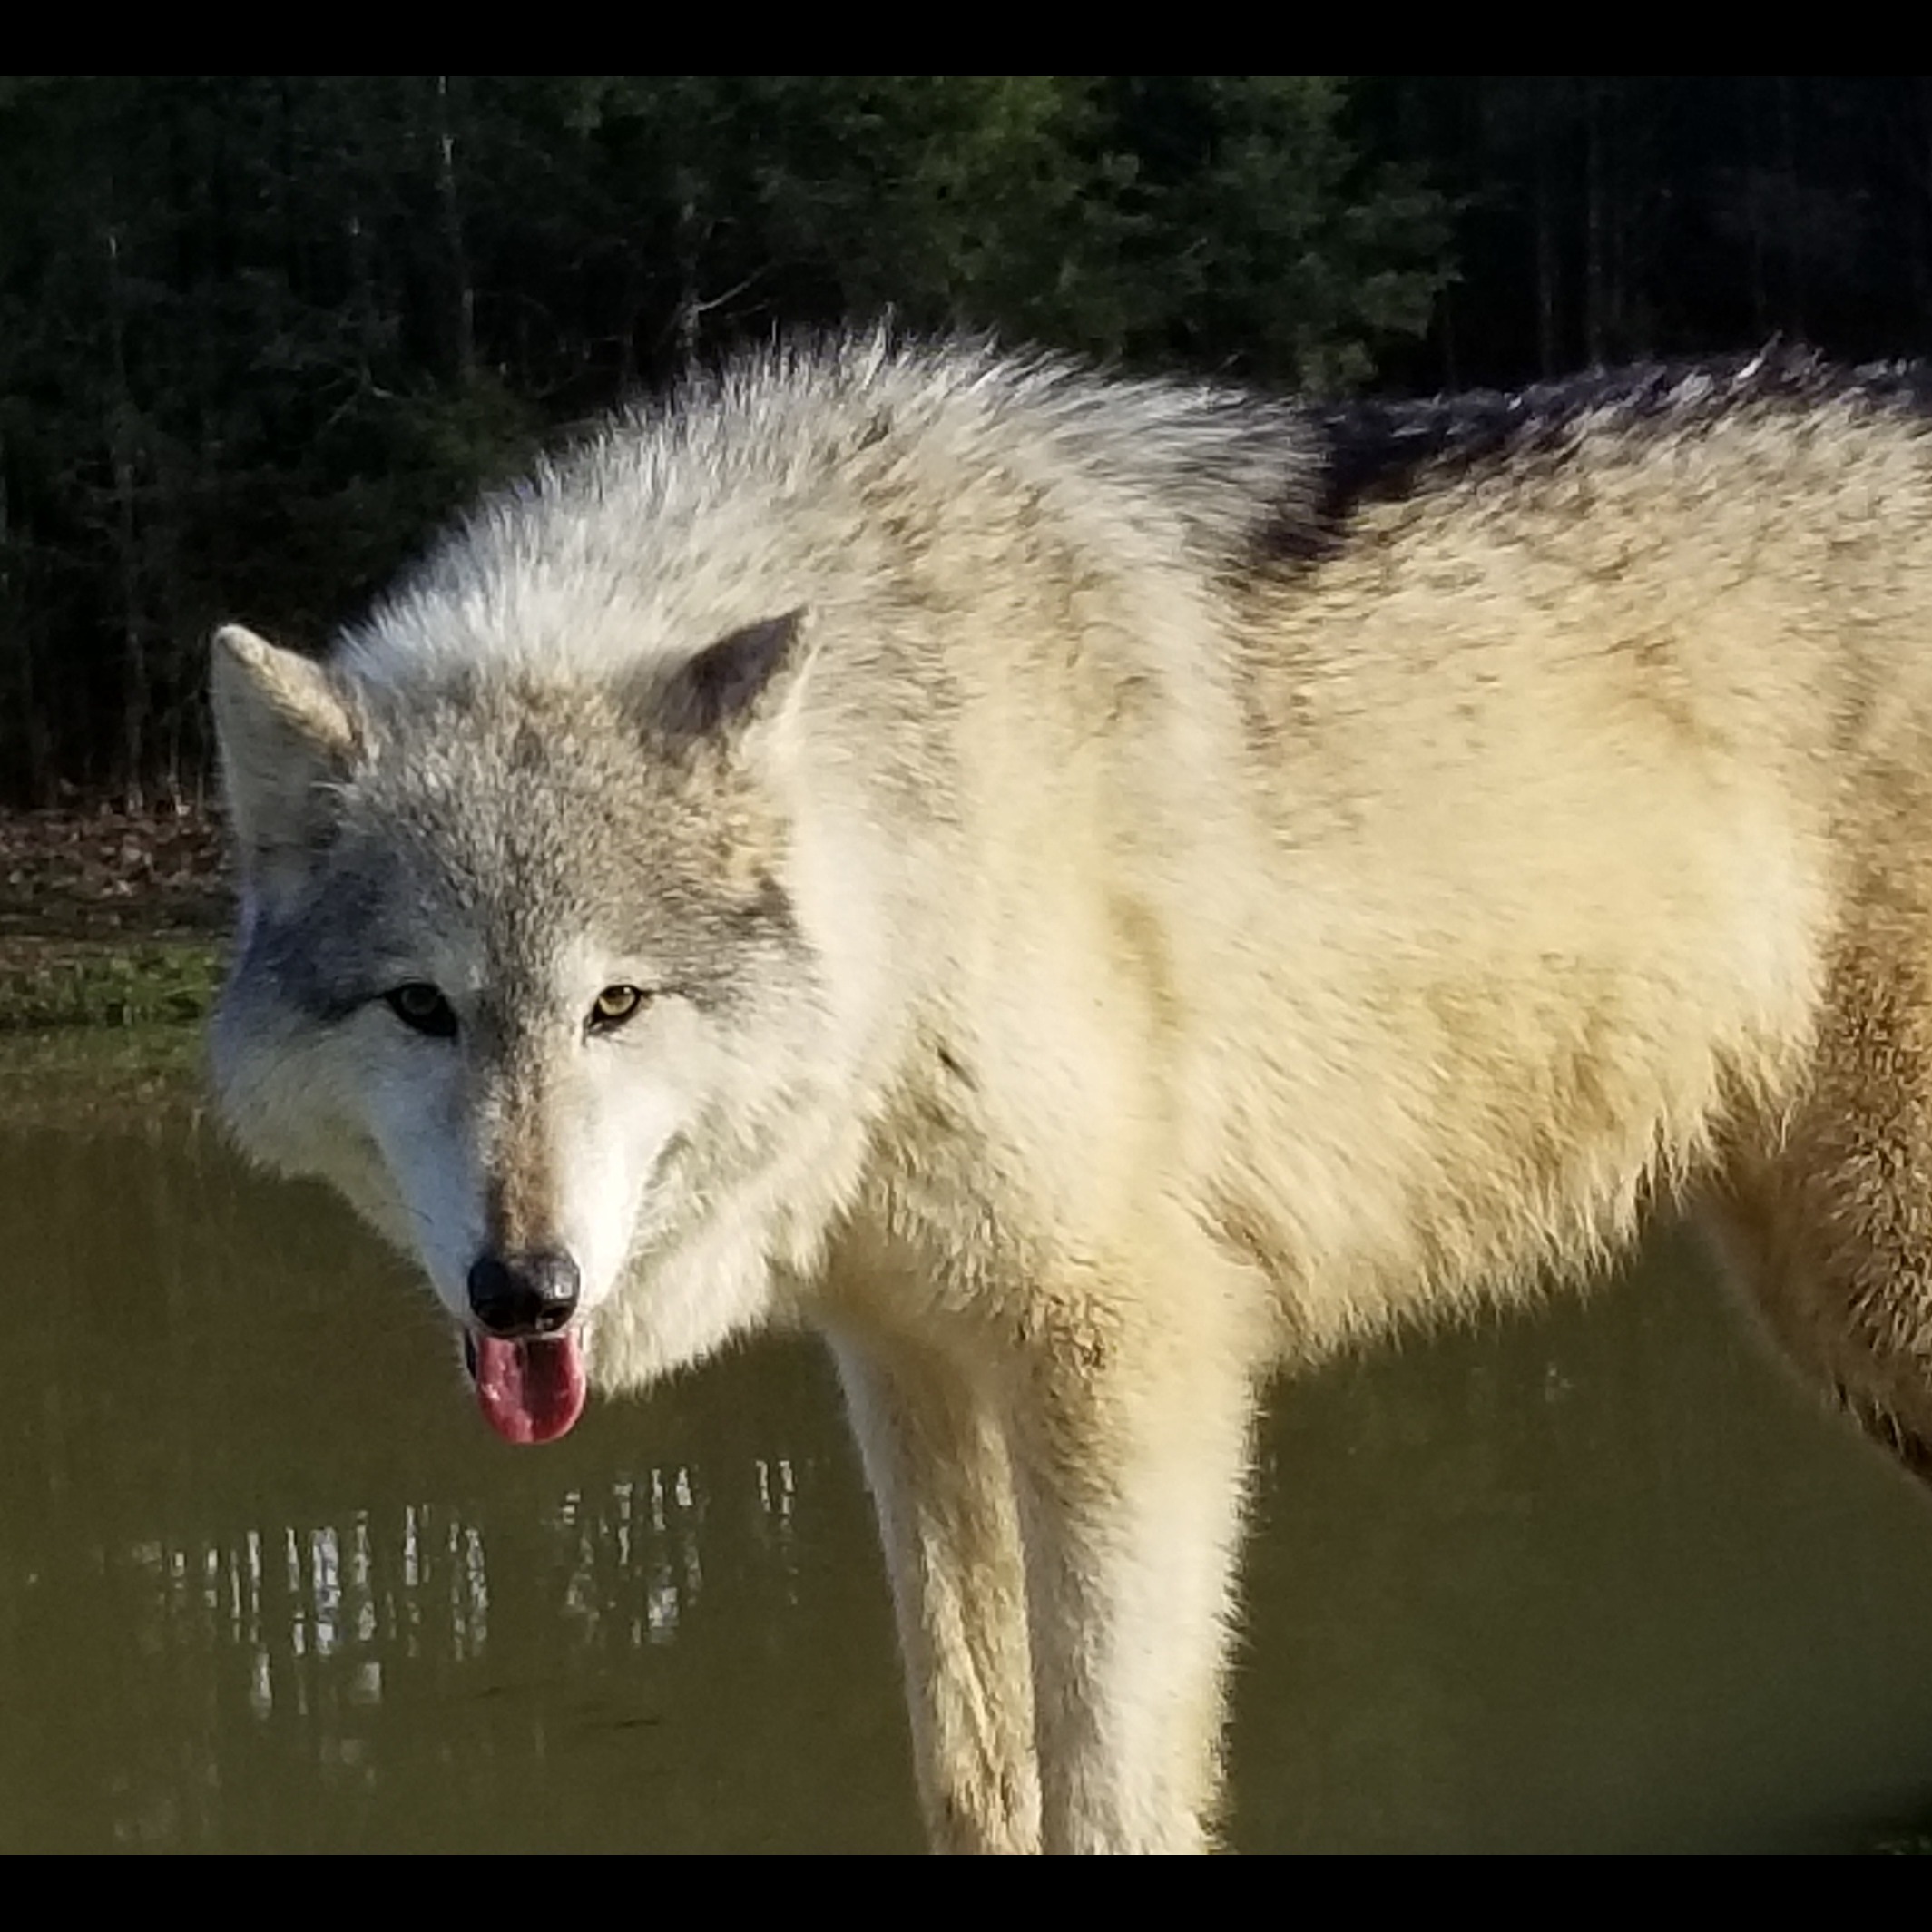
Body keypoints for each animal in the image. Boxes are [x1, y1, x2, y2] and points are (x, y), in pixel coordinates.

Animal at [210, 334, 1932, 1852]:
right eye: (423, 1007)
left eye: (613, 1002)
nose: (526, 1289)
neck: (906, 841)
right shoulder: (909, 1365)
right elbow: (976, 1773)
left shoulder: (1123, 1355)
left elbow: (1109, 1784)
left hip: (1869, 1281)